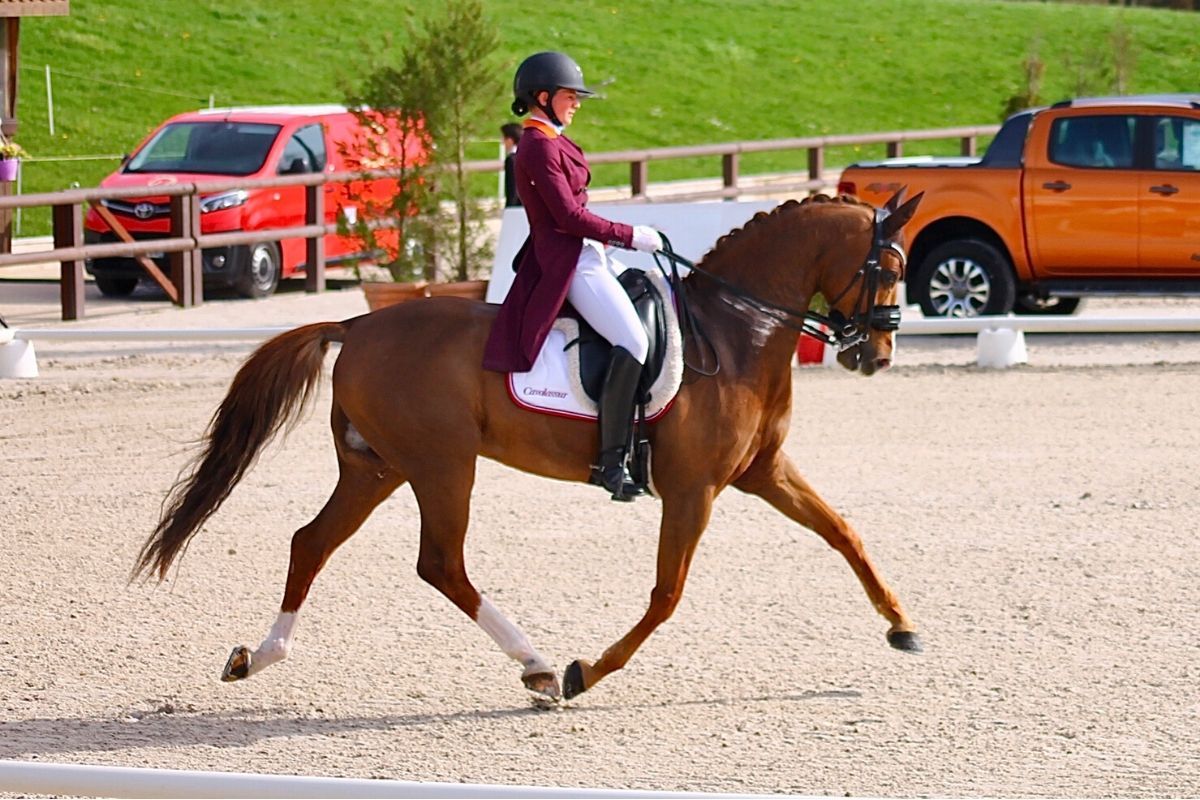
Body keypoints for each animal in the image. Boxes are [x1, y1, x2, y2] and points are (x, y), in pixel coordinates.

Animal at [138, 190, 926, 705]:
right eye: (888, 268)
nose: (877, 356)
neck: (734, 333)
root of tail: (356, 326)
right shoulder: (692, 489)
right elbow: (667, 595)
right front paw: (586, 672)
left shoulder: (763, 471)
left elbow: (844, 533)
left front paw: (904, 627)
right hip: (442, 466)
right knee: (440, 565)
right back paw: (540, 666)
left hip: (378, 467)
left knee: (313, 541)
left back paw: (259, 656)